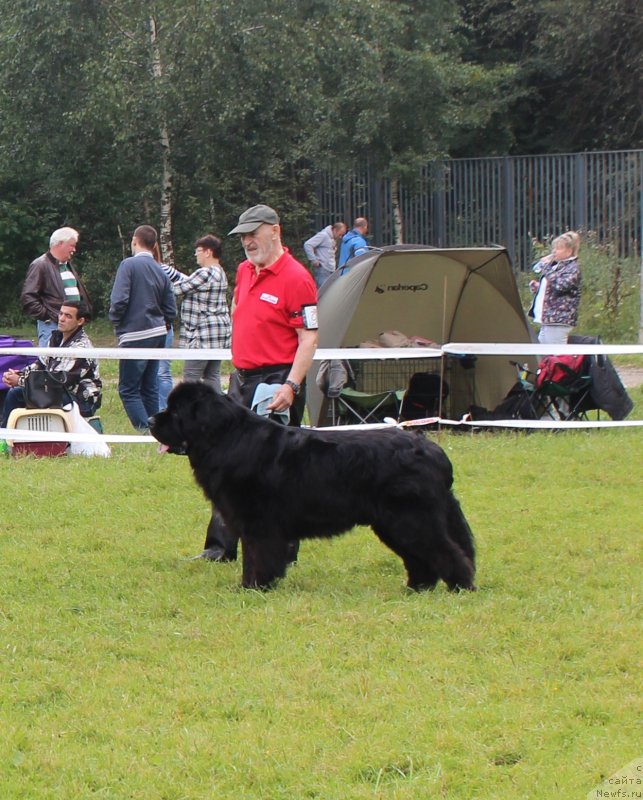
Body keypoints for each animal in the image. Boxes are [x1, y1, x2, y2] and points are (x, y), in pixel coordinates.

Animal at [148, 382, 476, 592]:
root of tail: (434, 451)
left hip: (411, 518)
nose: (151, 420)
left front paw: (252, 587)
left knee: (445, 551)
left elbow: (258, 556)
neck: (226, 437)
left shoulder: (258, 523)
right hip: (395, 523)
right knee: (421, 557)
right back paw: (417, 588)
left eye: (175, 411)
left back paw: (461, 586)